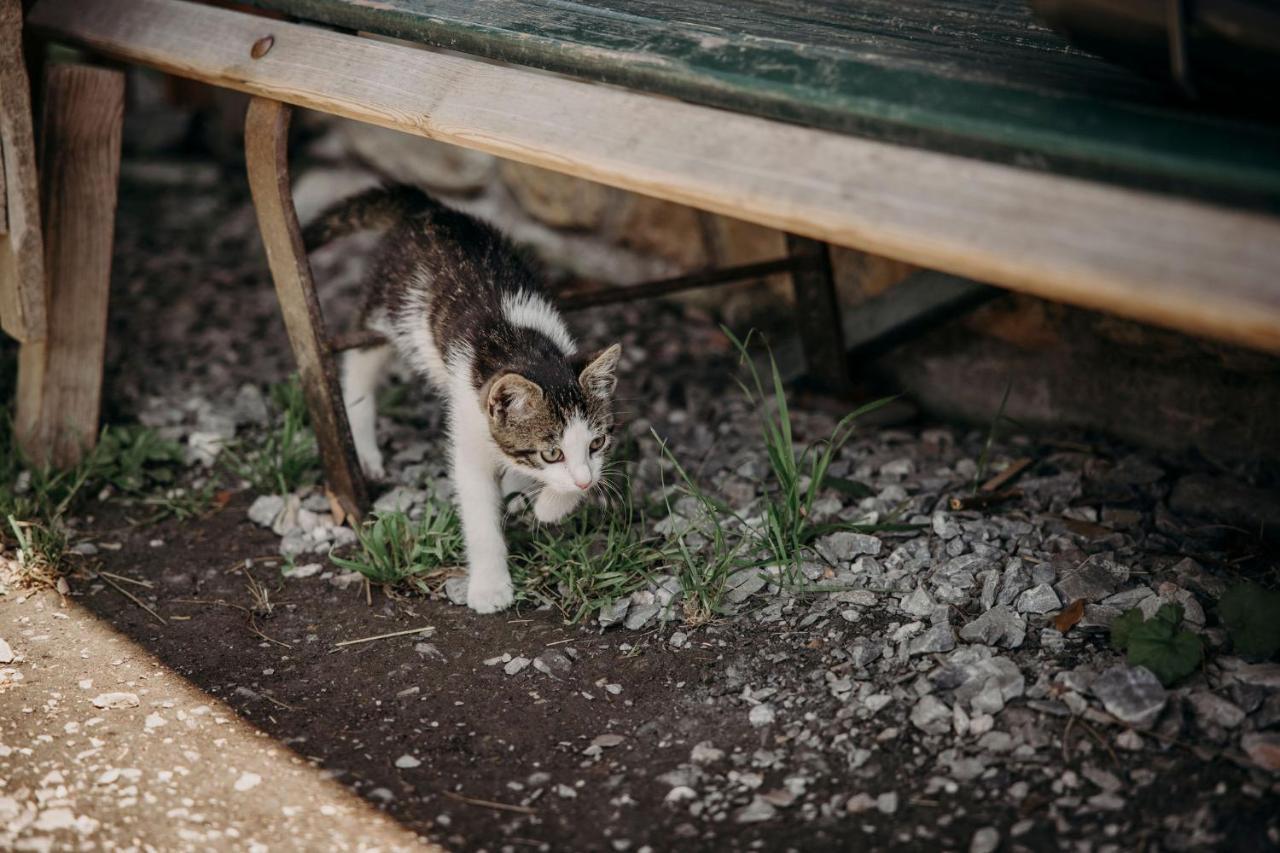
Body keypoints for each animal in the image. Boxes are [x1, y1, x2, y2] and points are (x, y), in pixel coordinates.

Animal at [300, 184, 619, 612]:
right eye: (551, 452)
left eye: (596, 443)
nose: (586, 485)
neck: (524, 347)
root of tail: (431, 209)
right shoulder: (469, 420)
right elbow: (478, 508)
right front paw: (490, 586)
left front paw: (549, 504)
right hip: (388, 309)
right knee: (358, 367)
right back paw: (364, 449)